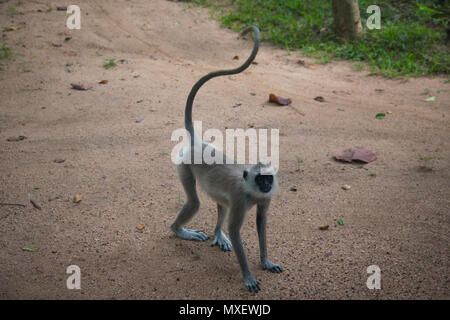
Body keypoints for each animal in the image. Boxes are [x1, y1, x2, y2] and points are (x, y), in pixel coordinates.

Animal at [171, 26, 284, 294]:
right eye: (260, 179)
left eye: (268, 178)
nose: (266, 185)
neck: (251, 191)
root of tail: (198, 143)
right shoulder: (241, 199)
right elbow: (236, 231)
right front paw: (248, 277)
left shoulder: (265, 199)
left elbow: (261, 223)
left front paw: (266, 261)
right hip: (184, 166)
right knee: (195, 203)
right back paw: (179, 231)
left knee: (221, 204)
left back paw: (217, 234)